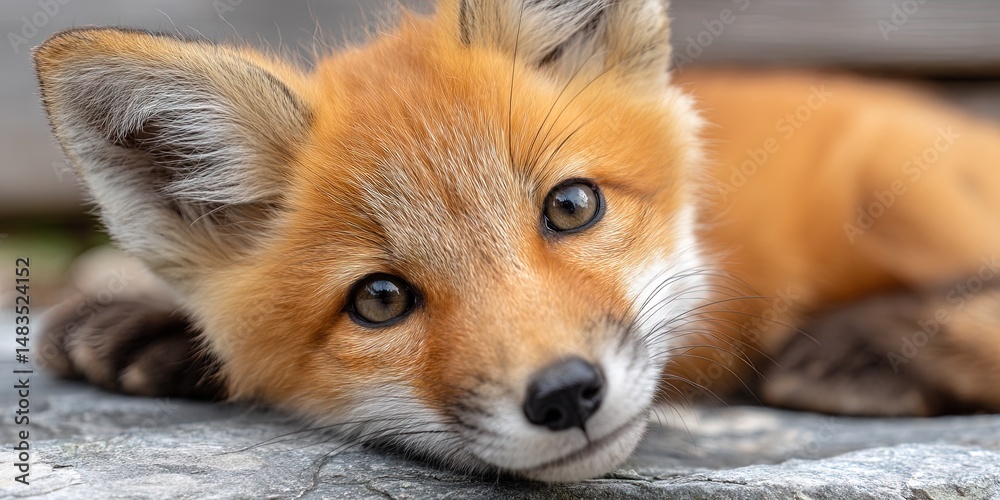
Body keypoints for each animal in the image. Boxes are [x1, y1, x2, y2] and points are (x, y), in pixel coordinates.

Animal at [32, 0, 1000, 483]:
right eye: (379, 300)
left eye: (570, 208)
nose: (567, 396)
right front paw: (156, 326)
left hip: (891, 186)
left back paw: (866, 350)